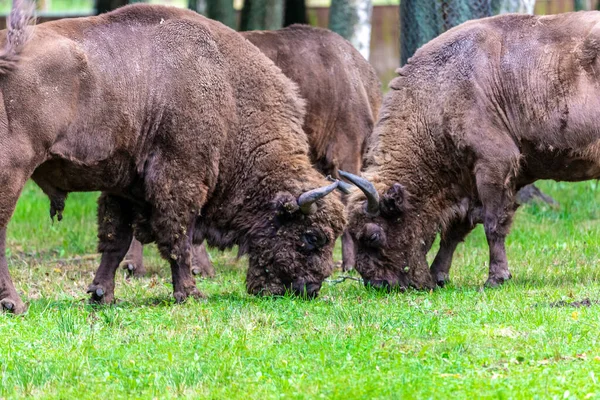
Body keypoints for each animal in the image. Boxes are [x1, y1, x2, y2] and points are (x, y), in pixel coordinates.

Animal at [0, 0, 346, 312]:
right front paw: (190, 293)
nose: (309, 290)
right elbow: (178, 239)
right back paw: (14, 304)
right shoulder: (180, 180)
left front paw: (101, 295)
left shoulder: (123, 186)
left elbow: (116, 240)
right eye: (312, 236)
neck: (229, 94)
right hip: (14, 171)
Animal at [344, 10, 600, 290]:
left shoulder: (493, 165)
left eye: (372, 236)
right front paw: (439, 275)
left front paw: (495, 278)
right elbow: (456, 229)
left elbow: (492, 223)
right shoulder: (469, 181)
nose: (376, 283)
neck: (440, 90)